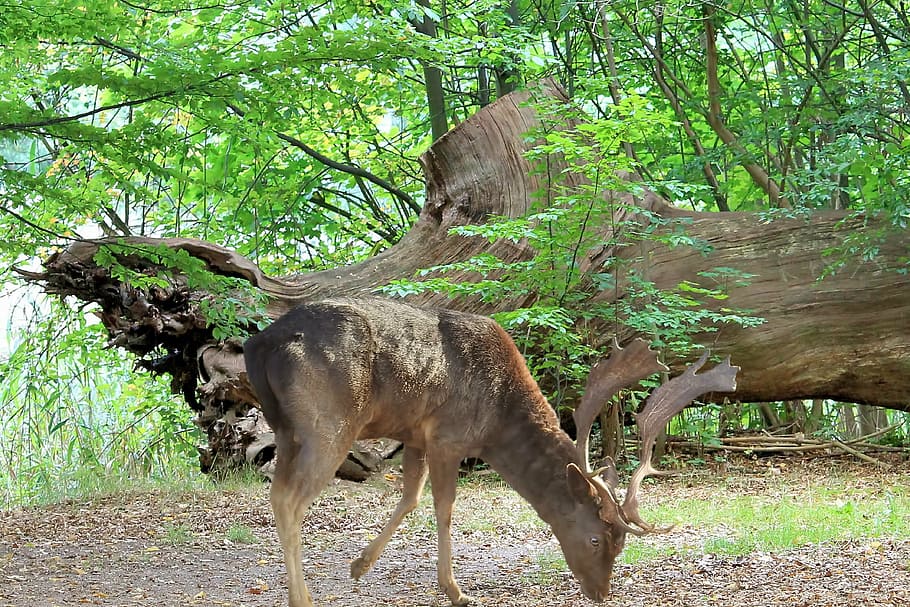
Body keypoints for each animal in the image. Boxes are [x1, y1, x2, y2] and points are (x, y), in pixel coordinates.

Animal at [242, 296, 739, 607]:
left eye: (621, 544)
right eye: (597, 538)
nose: (602, 592)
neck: (499, 420)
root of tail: (259, 342)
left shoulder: (416, 435)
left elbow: (410, 497)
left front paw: (359, 565)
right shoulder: (448, 436)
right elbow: (443, 507)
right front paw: (455, 590)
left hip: (286, 428)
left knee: (279, 490)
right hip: (328, 422)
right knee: (288, 498)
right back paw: (301, 597)